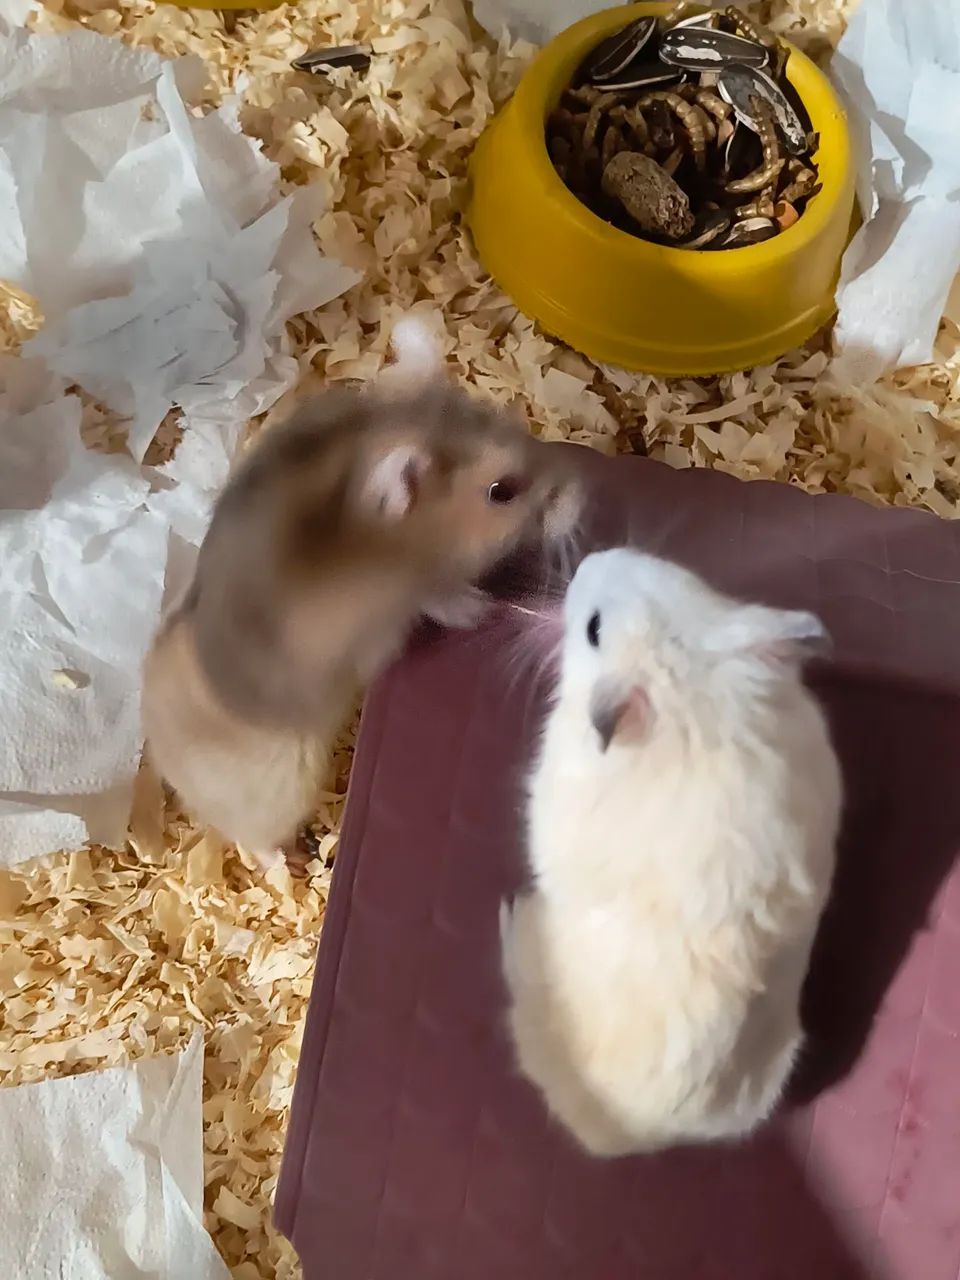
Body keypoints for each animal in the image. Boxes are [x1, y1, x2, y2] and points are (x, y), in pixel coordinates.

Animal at [142, 321, 581, 867]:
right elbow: (436, 597)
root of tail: (161, 759)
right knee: (250, 837)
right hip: (282, 786)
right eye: (503, 491)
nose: (581, 492)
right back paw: (285, 864)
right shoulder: (390, 612)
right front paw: (477, 609)